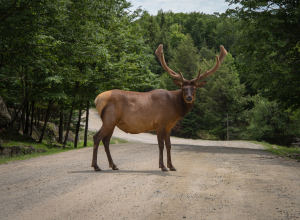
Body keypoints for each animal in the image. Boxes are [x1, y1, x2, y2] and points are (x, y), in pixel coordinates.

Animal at [92, 44, 227, 171]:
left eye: (194, 88)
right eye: (183, 88)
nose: (189, 98)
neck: (175, 109)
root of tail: (97, 99)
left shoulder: (169, 127)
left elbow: (169, 145)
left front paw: (172, 166)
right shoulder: (160, 122)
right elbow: (161, 144)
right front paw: (162, 166)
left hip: (112, 122)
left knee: (106, 140)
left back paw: (113, 165)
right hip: (110, 119)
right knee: (97, 137)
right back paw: (96, 166)